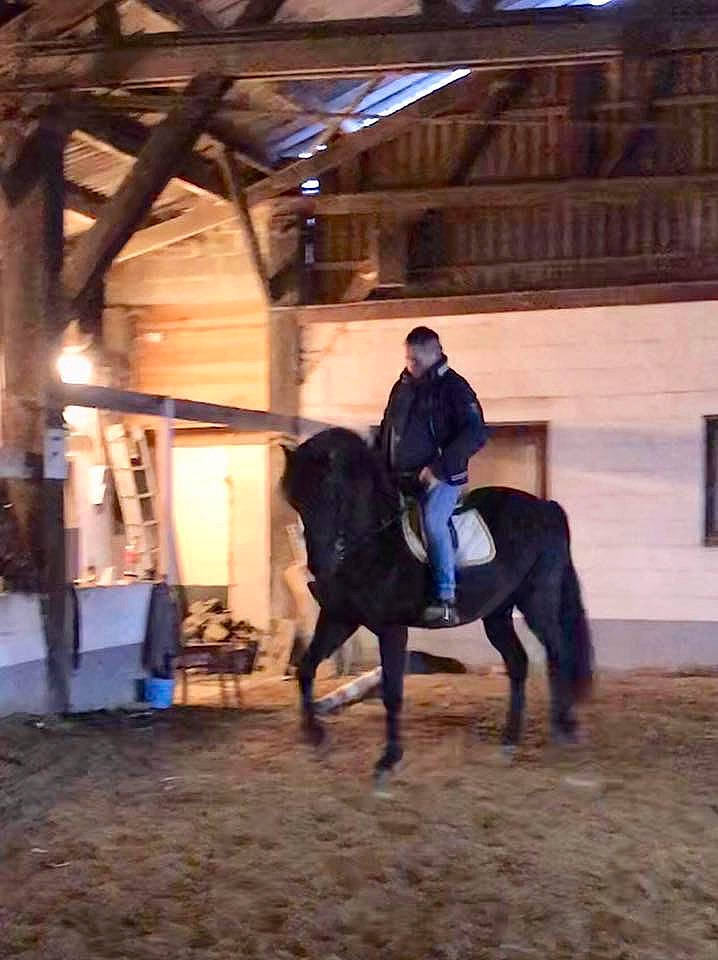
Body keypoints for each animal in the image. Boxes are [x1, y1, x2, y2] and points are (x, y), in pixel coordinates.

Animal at [281, 427, 593, 787]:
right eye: (296, 500)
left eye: (332, 495)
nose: (318, 568)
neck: (375, 542)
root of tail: (547, 507)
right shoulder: (339, 619)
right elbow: (306, 668)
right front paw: (315, 736)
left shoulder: (391, 628)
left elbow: (392, 692)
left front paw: (388, 761)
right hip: (497, 613)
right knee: (518, 662)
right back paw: (510, 742)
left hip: (537, 601)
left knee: (559, 653)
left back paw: (563, 729)